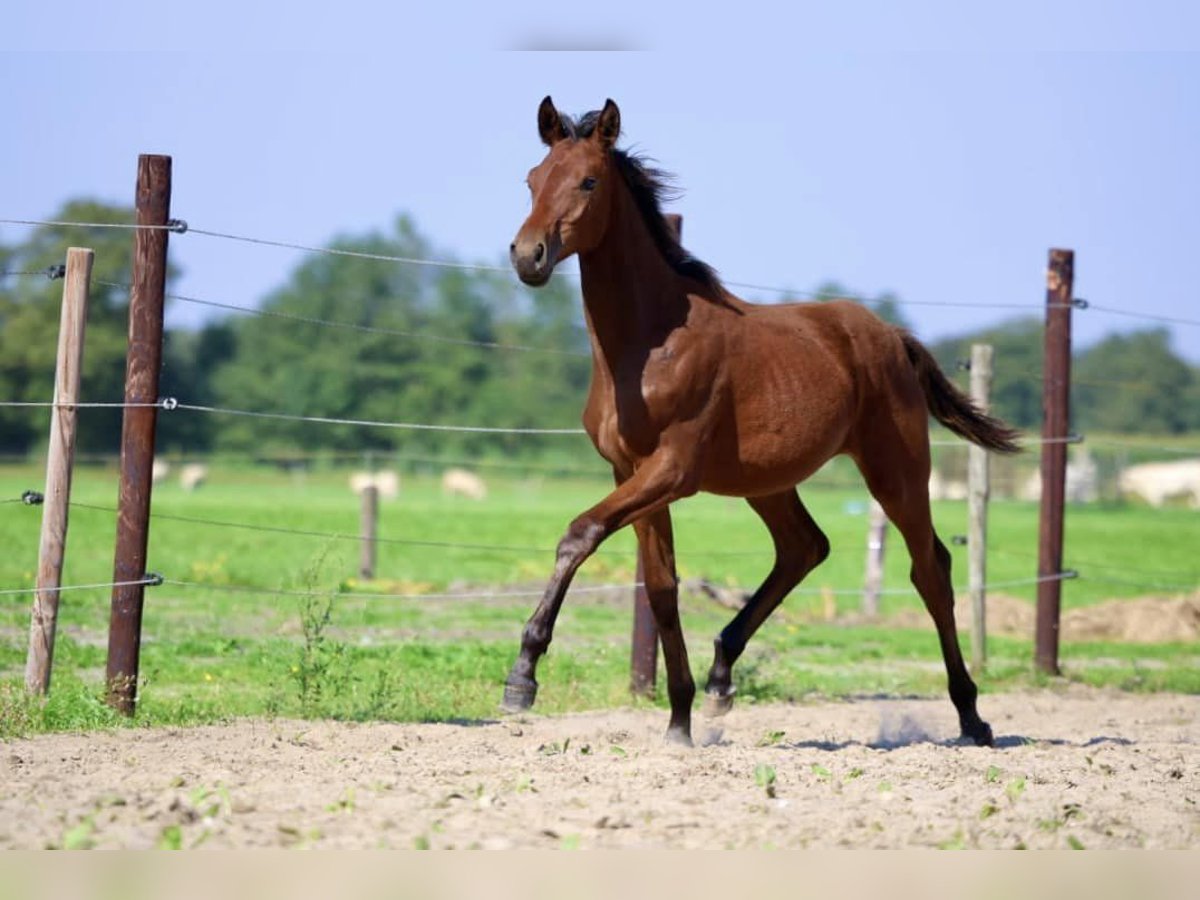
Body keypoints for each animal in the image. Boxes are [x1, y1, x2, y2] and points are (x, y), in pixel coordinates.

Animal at [501, 97, 1017, 748]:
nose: (528, 256)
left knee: (931, 570)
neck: (649, 343)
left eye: (589, 182)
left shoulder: (672, 469)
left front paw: (522, 676)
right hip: (767, 481)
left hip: (896, 470)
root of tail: (891, 336)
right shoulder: (631, 472)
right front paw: (679, 721)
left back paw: (973, 717)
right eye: (531, 180)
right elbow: (662, 588)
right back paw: (721, 678)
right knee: (806, 547)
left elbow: (580, 533)